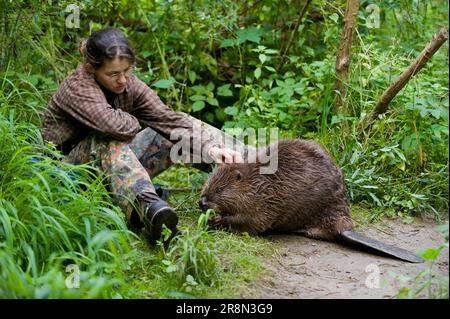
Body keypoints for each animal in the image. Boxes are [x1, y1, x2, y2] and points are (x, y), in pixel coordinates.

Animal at [200, 139, 426, 264]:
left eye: (220, 189)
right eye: (208, 182)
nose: (201, 202)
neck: (258, 180)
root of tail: (345, 226)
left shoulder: (265, 201)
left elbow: (253, 223)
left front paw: (216, 219)